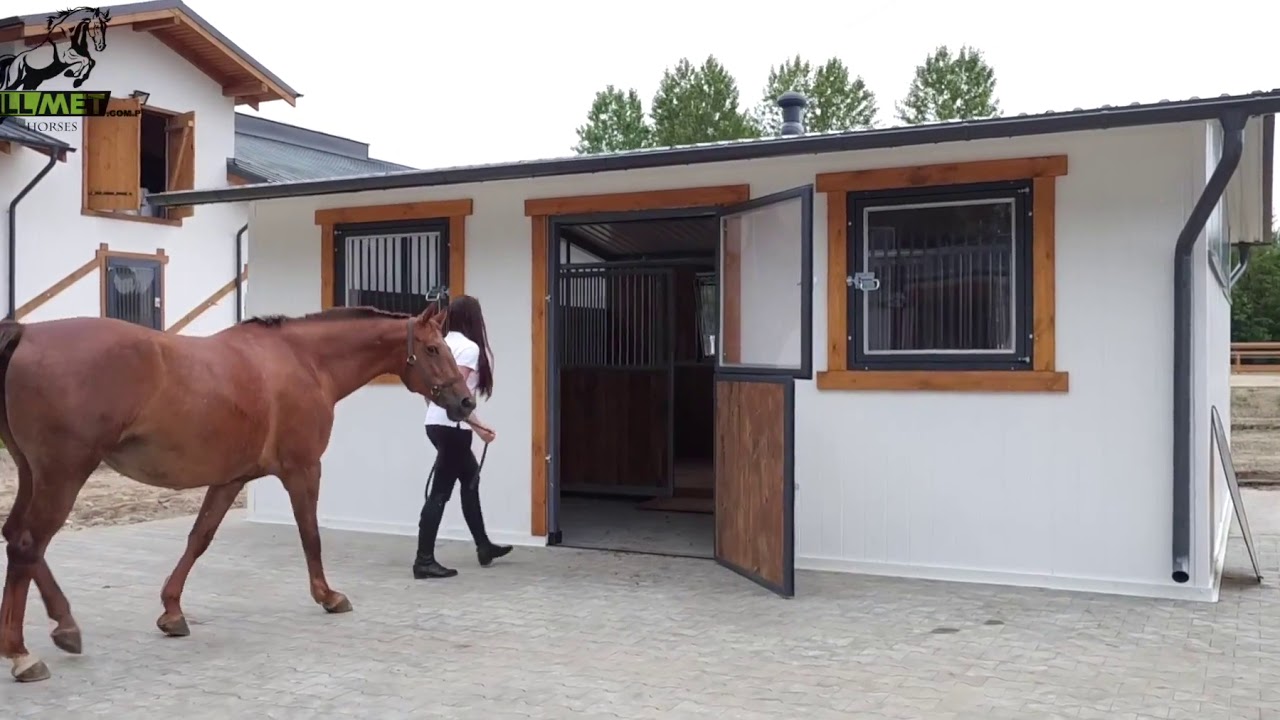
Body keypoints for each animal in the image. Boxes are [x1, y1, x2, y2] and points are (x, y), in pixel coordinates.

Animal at [0, 304, 475, 683]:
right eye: (434, 349)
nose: (466, 403)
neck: (304, 361)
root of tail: (27, 333)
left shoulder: (230, 479)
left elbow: (199, 538)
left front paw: (172, 612)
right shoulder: (303, 470)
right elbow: (310, 534)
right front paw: (328, 596)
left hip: (33, 473)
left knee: (18, 540)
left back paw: (64, 627)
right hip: (64, 474)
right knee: (28, 546)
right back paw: (23, 654)